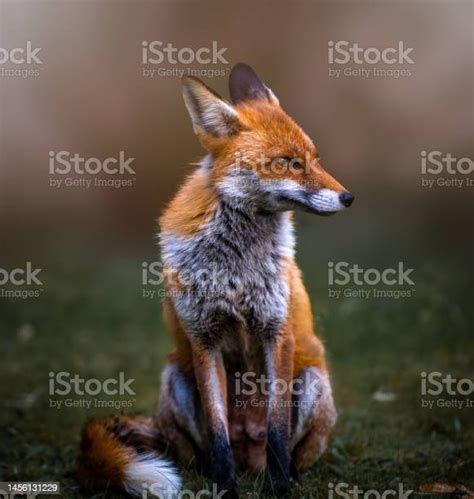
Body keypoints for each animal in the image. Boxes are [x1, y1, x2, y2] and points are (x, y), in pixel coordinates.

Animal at [78, 64, 352, 498]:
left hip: (311, 382)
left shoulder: (276, 330)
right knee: (202, 451)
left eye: (315, 158)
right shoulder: (203, 337)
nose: (348, 197)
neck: (235, 269)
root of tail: (249, 453)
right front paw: (225, 487)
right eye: (288, 163)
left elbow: (277, 429)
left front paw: (280, 488)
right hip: (176, 379)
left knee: (290, 449)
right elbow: (219, 430)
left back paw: (287, 474)